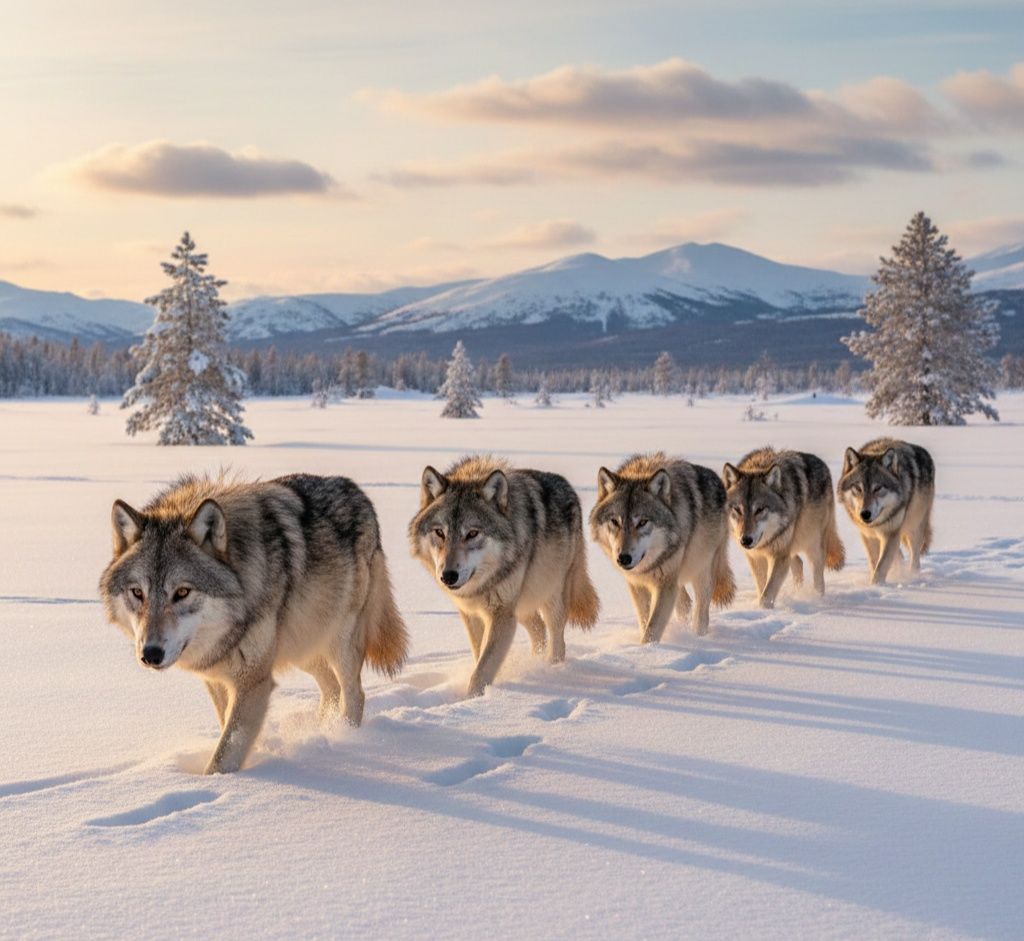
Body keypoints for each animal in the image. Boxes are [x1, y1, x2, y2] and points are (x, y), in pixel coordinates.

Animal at [99, 473, 408, 774]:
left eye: (182, 592)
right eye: (137, 593)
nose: (150, 654)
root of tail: (357, 492)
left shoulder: (253, 681)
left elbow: (226, 751)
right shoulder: (217, 678)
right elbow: (227, 727)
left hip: (337, 642)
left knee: (354, 694)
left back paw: (346, 737)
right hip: (301, 644)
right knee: (330, 687)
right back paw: (323, 730)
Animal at [408, 455, 599, 697]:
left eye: (472, 533)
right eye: (440, 532)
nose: (448, 576)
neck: (481, 585)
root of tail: (568, 486)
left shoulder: (500, 614)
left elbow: (482, 668)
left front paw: (474, 699)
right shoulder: (471, 614)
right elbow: (479, 656)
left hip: (549, 596)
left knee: (556, 639)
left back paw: (551, 670)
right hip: (522, 607)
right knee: (538, 630)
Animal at [589, 453, 735, 640]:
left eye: (642, 522)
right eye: (615, 521)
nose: (623, 558)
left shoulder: (665, 584)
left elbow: (652, 627)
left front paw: (649, 646)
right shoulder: (636, 584)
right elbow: (645, 620)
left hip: (702, 571)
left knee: (701, 613)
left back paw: (698, 637)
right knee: (685, 603)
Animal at [722, 448, 845, 608]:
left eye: (759, 509)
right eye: (737, 509)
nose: (745, 540)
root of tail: (823, 465)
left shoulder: (779, 555)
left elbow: (766, 594)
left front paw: (764, 609)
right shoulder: (755, 557)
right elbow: (762, 587)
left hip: (812, 546)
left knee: (818, 578)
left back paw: (817, 599)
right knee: (798, 563)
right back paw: (797, 591)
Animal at [837, 438, 935, 584]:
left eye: (877, 488)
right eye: (858, 488)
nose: (865, 514)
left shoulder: (890, 533)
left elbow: (881, 566)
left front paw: (876, 585)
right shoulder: (868, 535)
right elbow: (874, 562)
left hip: (914, 527)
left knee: (914, 558)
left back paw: (913, 576)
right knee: (899, 556)